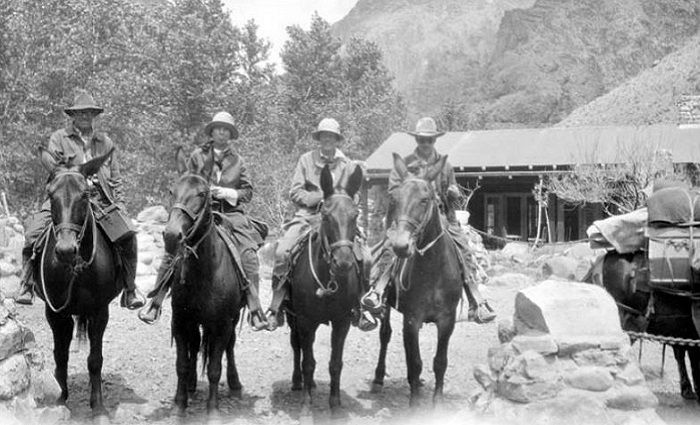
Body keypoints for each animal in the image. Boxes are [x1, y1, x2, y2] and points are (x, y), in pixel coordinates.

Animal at [33, 151, 120, 420]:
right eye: (51, 194)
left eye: (85, 194)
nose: (65, 250)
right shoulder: (55, 313)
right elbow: (60, 356)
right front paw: (60, 399)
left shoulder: (100, 311)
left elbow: (95, 359)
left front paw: (99, 407)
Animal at [165, 152, 247, 418]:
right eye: (172, 191)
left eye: (202, 193)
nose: (171, 235)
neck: (204, 274)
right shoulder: (181, 321)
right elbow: (182, 363)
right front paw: (179, 404)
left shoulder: (221, 325)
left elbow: (214, 368)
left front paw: (213, 410)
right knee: (194, 346)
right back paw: (190, 385)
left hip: (230, 320)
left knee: (229, 347)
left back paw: (235, 384)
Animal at [288, 163, 366, 414]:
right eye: (325, 215)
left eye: (355, 215)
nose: (343, 262)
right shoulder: (304, 320)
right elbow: (308, 362)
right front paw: (306, 405)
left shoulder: (342, 321)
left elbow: (335, 364)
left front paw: (335, 403)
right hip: (292, 317)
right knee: (297, 346)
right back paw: (298, 382)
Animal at [372, 154, 464, 406]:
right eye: (394, 199)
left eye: (424, 200)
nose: (401, 246)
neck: (433, 271)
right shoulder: (412, 319)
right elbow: (415, 362)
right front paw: (414, 404)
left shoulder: (446, 320)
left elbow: (439, 362)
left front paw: (437, 402)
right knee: (385, 336)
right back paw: (378, 379)